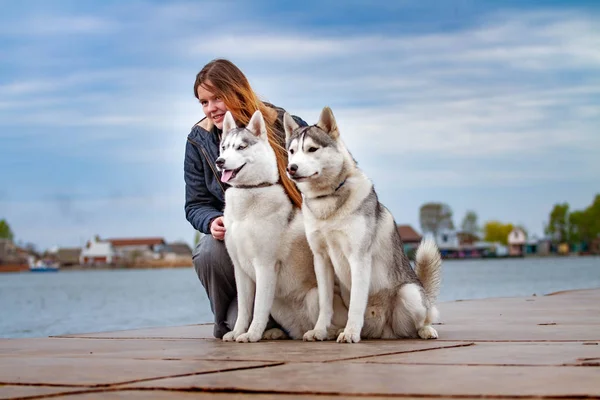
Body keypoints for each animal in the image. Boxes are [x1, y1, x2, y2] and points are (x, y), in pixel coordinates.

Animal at [216, 110, 346, 344]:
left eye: (241, 147)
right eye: (224, 147)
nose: (220, 161)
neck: (248, 193)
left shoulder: (265, 266)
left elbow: (258, 308)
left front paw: (251, 334)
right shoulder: (240, 269)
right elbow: (244, 310)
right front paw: (239, 332)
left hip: (315, 296)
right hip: (278, 305)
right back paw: (274, 332)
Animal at [282, 107, 440, 344]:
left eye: (311, 149)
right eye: (292, 151)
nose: (291, 168)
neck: (328, 202)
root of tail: (383, 332)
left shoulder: (358, 258)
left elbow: (357, 304)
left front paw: (350, 333)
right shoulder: (321, 259)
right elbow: (325, 305)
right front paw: (319, 331)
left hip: (410, 293)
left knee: (423, 319)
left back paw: (426, 330)